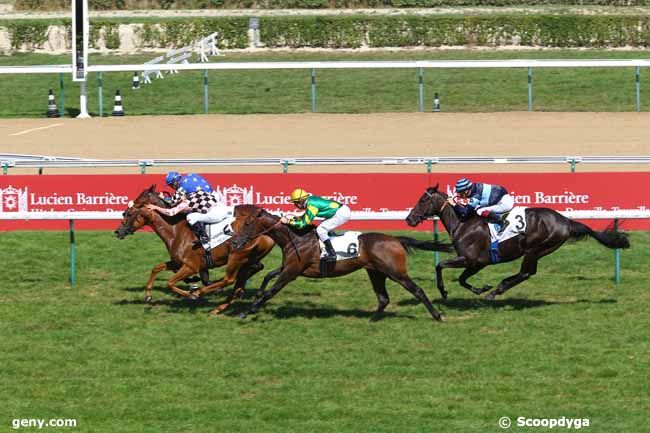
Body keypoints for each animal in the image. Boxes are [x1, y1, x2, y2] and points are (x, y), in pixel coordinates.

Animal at [113, 184, 274, 312]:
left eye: (129, 214)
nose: (118, 232)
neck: (175, 230)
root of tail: (267, 232)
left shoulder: (190, 266)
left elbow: (170, 283)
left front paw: (192, 291)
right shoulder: (177, 262)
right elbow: (156, 268)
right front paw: (147, 295)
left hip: (236, 257)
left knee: (230, 279)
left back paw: (210, 292)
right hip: (248, 259)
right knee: (250, 271)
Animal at [229, 205, 450, 320]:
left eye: (247, 223)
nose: (235, 242)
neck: (296, 238)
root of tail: (395, 239)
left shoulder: (291, 272)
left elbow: (271, 291)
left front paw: (249, 311)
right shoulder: (289, 268)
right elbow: (267, 277)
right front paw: (253, 299)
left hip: (395, 272)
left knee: (417, 290)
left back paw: (437, 315)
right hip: (375, 272)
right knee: (383, 298)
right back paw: (372, 319)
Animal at [404, 182, 628, 300]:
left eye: (422, 200)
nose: (409, 219)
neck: (463, 222)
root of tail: (565, 220)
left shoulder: (472, 259)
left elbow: (441, 266)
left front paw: (444, 292)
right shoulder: (478, 263)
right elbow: (461, 279)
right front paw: (481, 289)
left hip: (535, 248)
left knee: (525, 273)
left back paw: (497, 290)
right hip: (540, 251)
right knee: (527, 273)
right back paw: (496, 289)